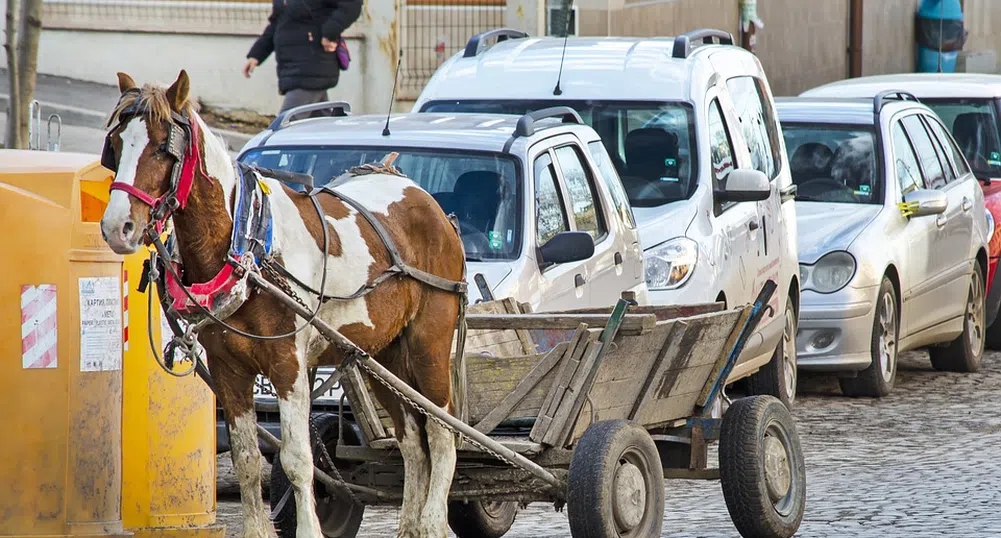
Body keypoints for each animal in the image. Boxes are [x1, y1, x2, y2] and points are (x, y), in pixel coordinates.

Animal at [97, 70, 464, 536]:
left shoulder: (288, 366)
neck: (247, 243)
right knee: (412, 443)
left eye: (164, 148)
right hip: (382, 356)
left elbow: (296, 459)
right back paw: (411, 525)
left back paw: (433, 521)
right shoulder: (229, 369)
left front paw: (309, 528)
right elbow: (248, 459)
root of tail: (422, 195)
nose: (117, 227)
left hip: (429, 344)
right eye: (115, 145)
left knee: (441, 433)